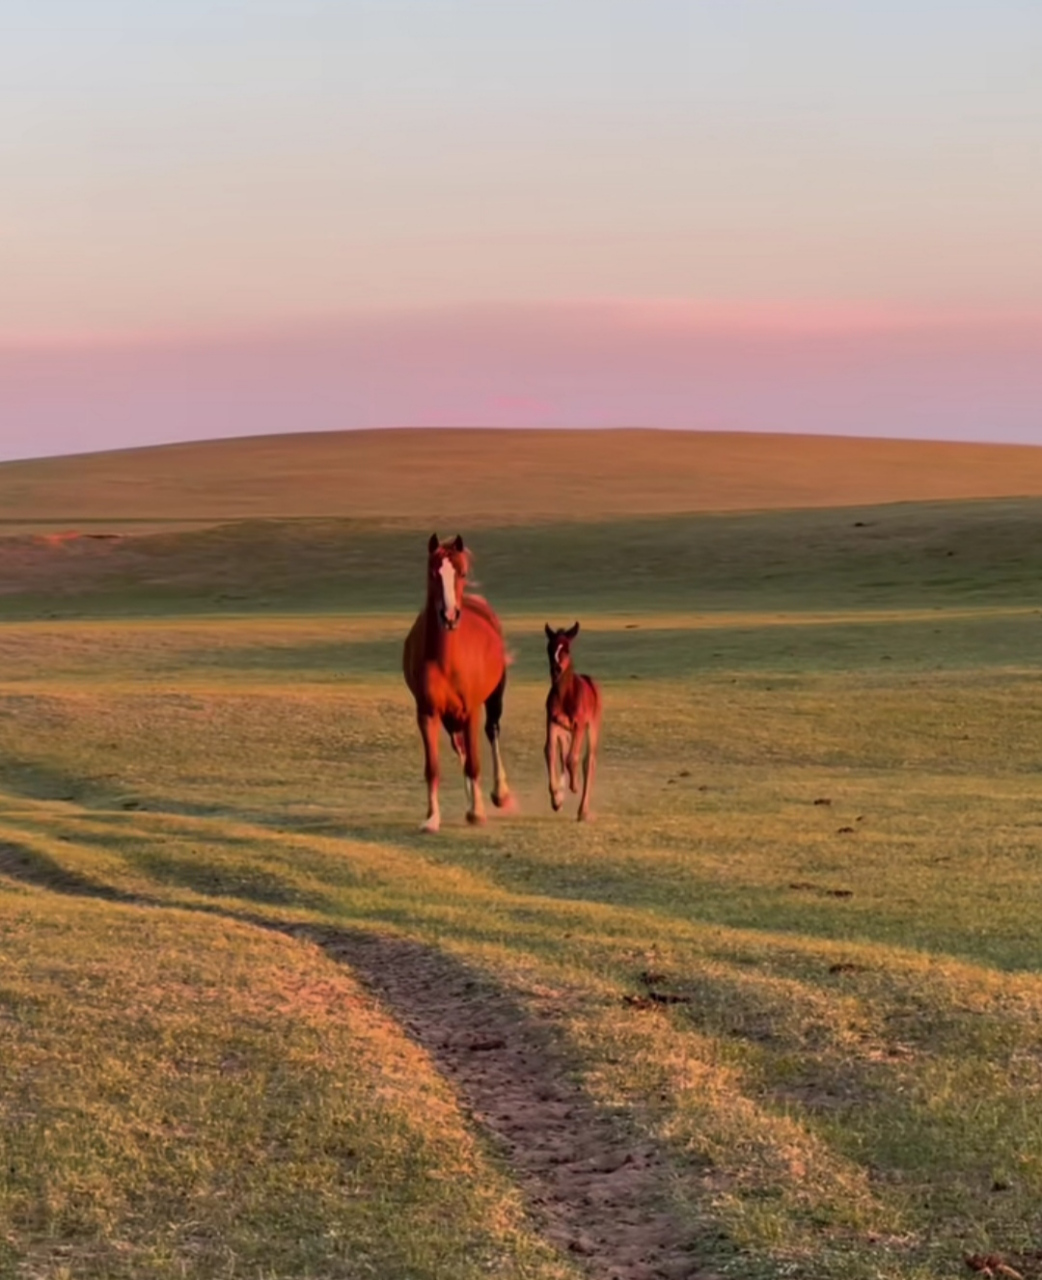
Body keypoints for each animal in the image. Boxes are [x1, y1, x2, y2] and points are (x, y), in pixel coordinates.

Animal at [404, 529, 514, 829]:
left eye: (462, 573)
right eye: (433, 572)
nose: (450, 616)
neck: (444, 660)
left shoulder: (471, 710)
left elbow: (475, 761)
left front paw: (478, 811)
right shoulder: (427, 713)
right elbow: (433, 767)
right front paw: (432, 818)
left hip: (493, 698)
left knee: (491, 732)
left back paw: (500, 794)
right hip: (449, 717)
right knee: (461, 747)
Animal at [547, 624, 604, 824]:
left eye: (567, 649)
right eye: (549, 648)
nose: (556, 669)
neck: (565, 696)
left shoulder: (579, 724)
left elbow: (573, 758)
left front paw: (575, 785)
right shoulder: (553, 722)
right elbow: (550, 752)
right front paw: (556, 800)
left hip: (592, 726)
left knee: (589, 761)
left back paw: (582, 811)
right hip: (566, 731)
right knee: (563, 753)